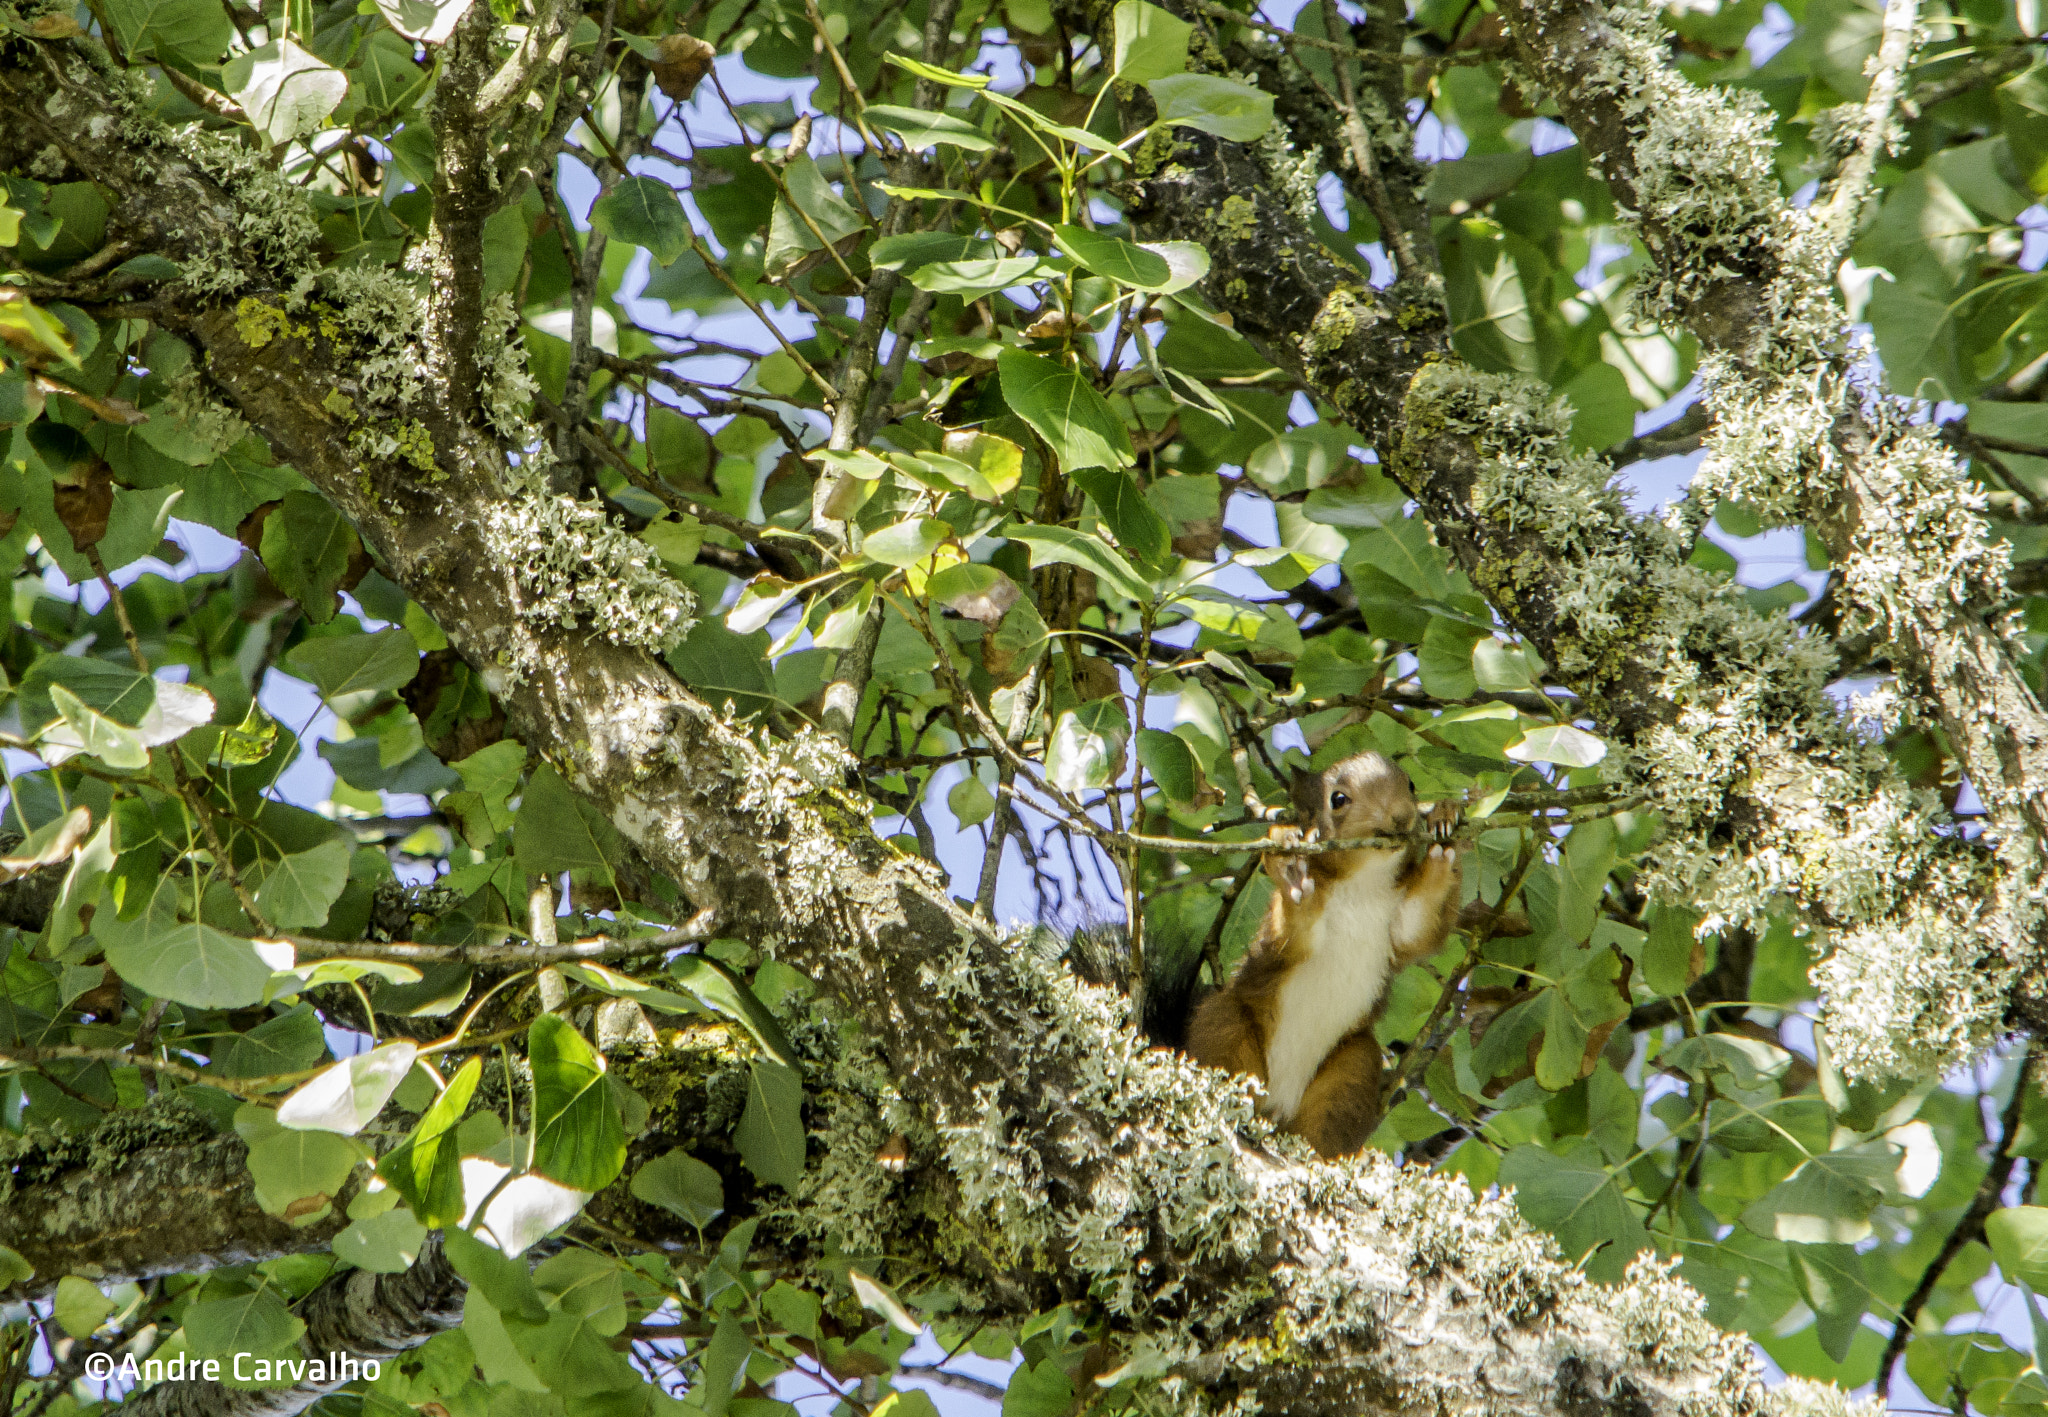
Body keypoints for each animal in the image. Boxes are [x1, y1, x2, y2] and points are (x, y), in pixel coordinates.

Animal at [1179, 745, 1466, 1154]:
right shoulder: (1289, 938)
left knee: (1324, 1124)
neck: (1362, 884)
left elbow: (1420, 923)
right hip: (1227, 1029)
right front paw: (1288, 862)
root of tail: (1277, 1112)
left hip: (1352, 1068)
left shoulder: (1397, 922)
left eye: (1410, 784)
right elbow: (1293, 932)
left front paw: (1444, 828)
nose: (1402, 816)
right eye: (1339, 799)